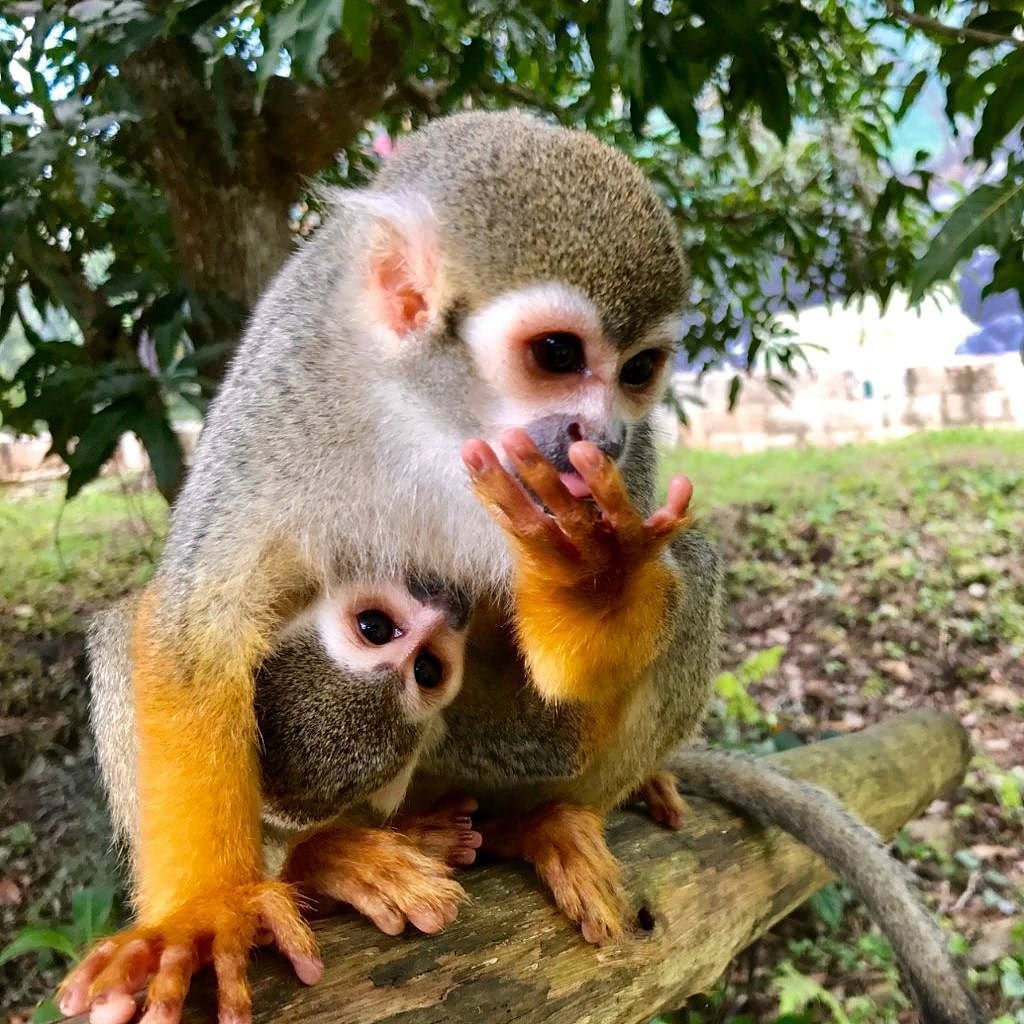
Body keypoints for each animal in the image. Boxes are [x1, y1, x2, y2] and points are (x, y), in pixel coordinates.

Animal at [59, 110, 981, 1024]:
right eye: (558, 355)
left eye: (639, 371)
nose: (602, 433)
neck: (440, 416)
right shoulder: (288, 381)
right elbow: (198, 622)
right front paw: (203, 912)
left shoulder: (623, 479)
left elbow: (576, 672)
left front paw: (592, 581)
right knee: (132, 628)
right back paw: (325, 861)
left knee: (682, 588)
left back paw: (538, 825)